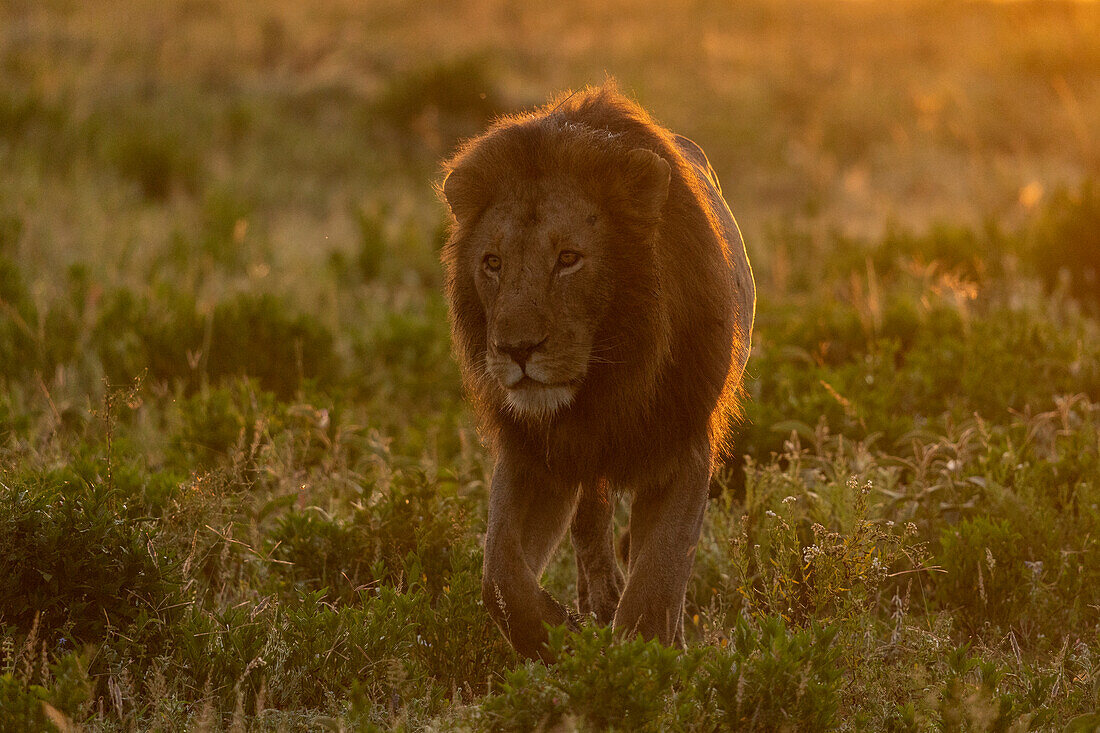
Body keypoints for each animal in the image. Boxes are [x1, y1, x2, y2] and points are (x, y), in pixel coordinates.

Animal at [437, 81, 756, 655]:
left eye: (569, 259)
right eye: (492, 263)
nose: (517, 349)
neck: (605, 384)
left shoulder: (683, 445)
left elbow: (657, 580)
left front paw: (638, 660)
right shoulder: (531, 454)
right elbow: (500, 576)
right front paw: (560, 637)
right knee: (590, 519)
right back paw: (597, 600)